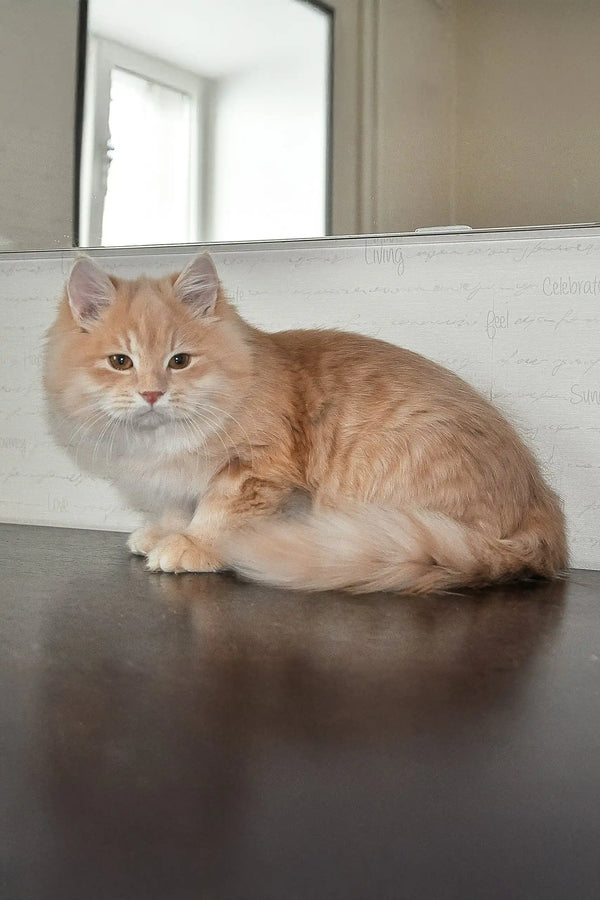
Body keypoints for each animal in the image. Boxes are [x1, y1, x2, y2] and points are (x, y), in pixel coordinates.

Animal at [45, 251, 568, 592]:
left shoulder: (255, 470)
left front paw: (191, 546)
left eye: (179, 361)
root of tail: (540, 507)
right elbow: (178, 507)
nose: (152, 393)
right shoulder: (179, 482)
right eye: (120, 362)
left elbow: (218, 514)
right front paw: (162, 532)